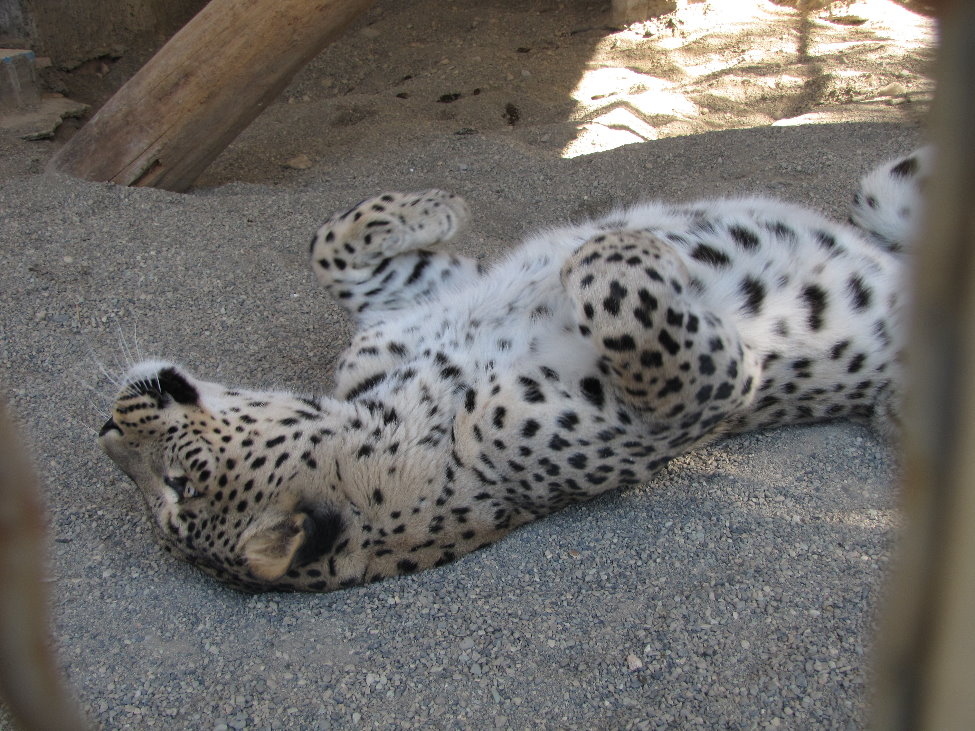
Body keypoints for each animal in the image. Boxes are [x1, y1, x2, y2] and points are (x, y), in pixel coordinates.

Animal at [99, 147, 929, 593]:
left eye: (176, 483)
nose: (105, 426)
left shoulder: (411, 305)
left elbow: (329, 243)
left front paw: (438, 205)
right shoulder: (703, 388)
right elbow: (611, 285)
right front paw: (632, 244)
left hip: (885, 184)